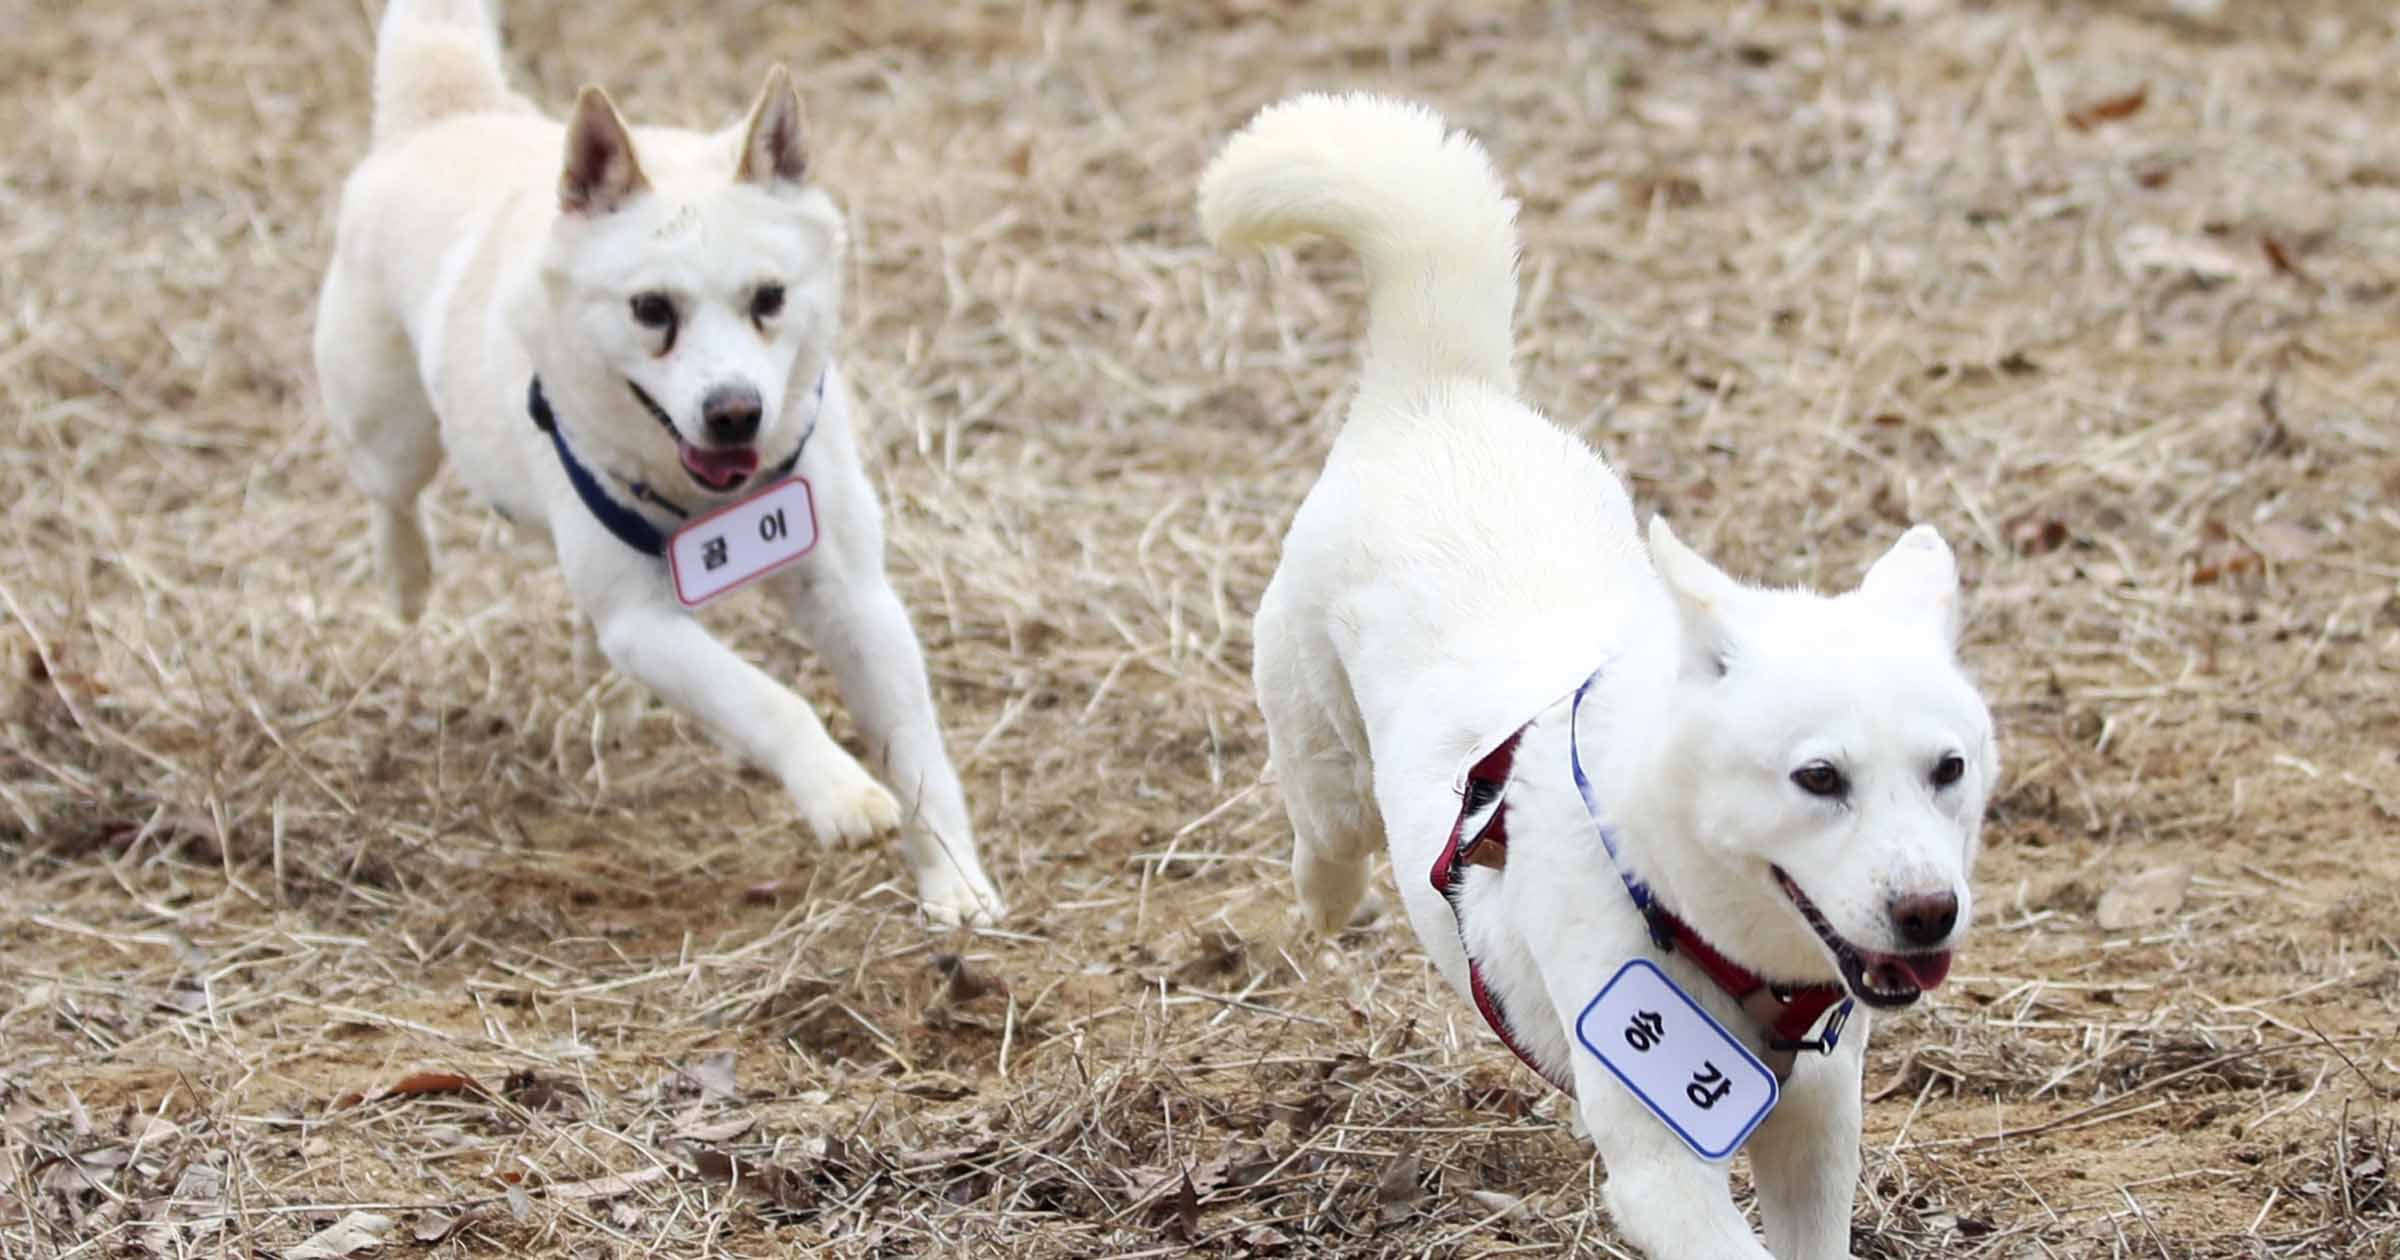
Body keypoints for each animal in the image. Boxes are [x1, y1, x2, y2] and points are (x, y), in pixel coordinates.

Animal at [312, 0, 1003, 921]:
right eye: (651, 311)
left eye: (770, 299)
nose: (735, 411)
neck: (716, 501)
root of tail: (450, 113)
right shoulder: (648, 625)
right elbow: (769, 701)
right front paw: (840, 794)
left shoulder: (855, 595)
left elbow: (917, 751)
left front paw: (954, 885)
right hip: (390, 428)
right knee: (392, 497)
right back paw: (406, 580)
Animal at [1200, 96, 2006, 1257]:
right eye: (1819, 780)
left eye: (1949, 770)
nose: (1929, 914)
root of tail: (1438, 392)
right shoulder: (1665, 1156)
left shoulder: (1816, 1126)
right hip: (1320, 746)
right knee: (1325, 826)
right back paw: (1326, 895)